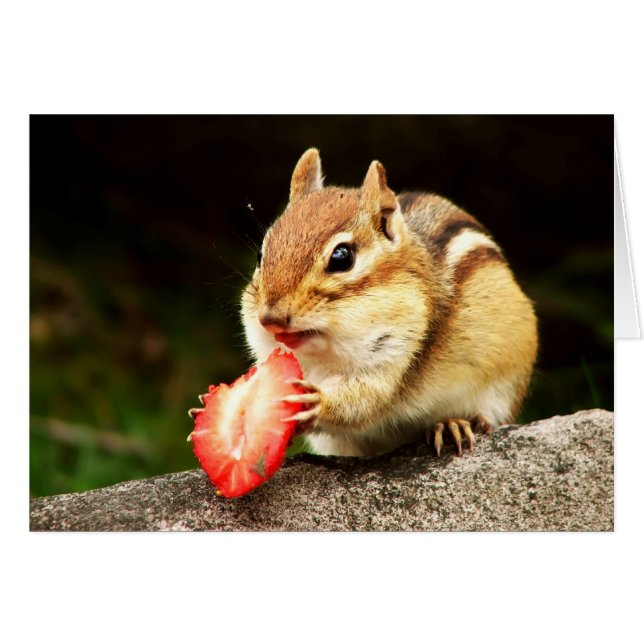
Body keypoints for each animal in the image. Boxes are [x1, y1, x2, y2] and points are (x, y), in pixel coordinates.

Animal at [239, 148, 538, 458]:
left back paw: (452, 424)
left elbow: (364, 403)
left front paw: (316, 402)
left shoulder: (395, 353)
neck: (324, 354)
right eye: (261, 255)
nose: (270, 319)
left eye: (342, 257)